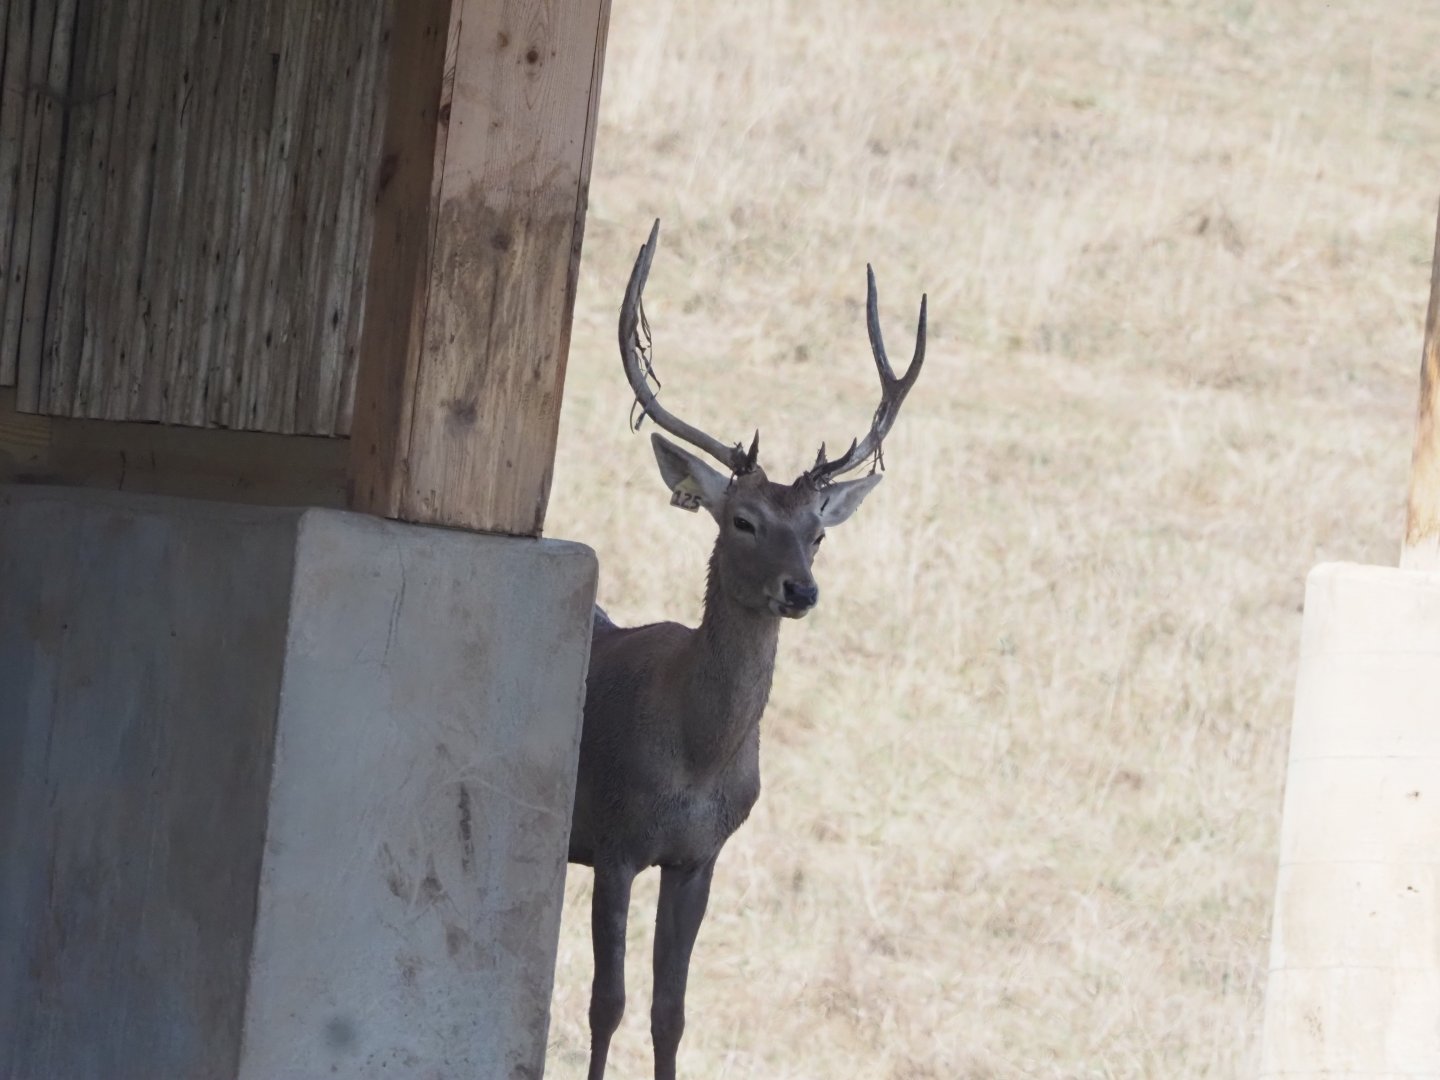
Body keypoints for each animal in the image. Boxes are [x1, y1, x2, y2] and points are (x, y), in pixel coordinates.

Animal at [567, 220, 926, 1080]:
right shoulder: (615, 837)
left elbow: (670, 1011)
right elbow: (606, 1003)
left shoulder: (701, 855)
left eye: (819, 532)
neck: (695, 760)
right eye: (743, 520)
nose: (801, 590)